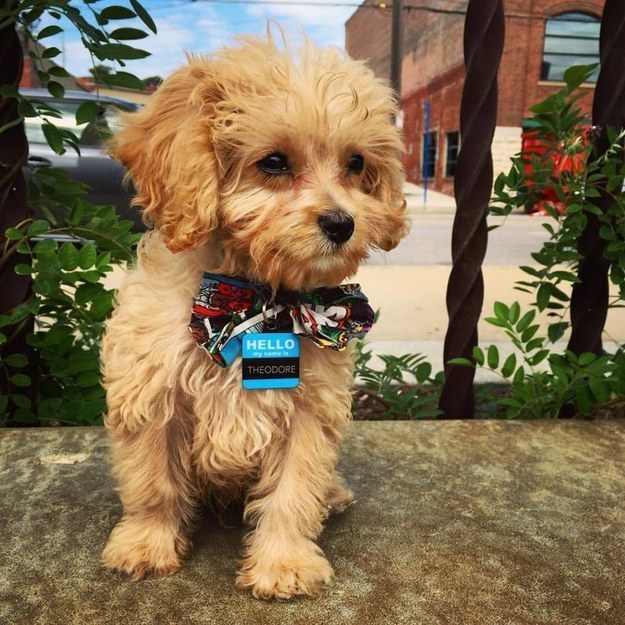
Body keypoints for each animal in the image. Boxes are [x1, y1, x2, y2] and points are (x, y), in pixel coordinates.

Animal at [100, 31, 408, 596]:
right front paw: (146, 545)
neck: (260, 306)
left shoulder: (309, 411)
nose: (341, 223)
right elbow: (154, 483)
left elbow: (293, 491)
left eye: (356, 163)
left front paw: (284, 563)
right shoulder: (153, 394)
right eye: (274, 162)